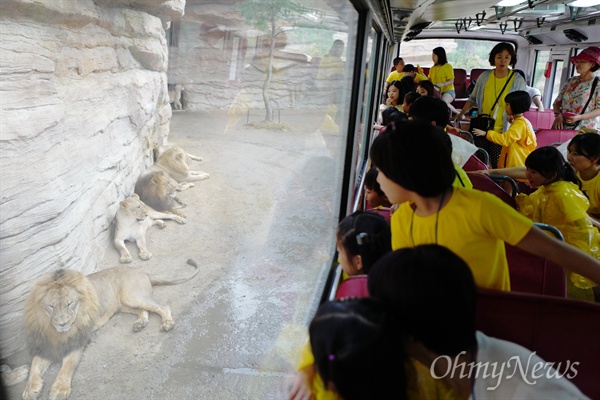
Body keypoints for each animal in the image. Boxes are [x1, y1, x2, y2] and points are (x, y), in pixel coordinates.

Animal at [21, 260, 199, 400]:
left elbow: (67, 367)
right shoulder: (44, 345)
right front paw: (31, 389)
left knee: (163, 306)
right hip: (124, 303)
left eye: (69, 304)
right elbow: (34, 365)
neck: (56, 332)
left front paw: (59, 390)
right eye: (51, 307)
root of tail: (143, 272)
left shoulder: (80, 341)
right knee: (144, 311)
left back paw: (167, 323)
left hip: (132, 296)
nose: (63, 324)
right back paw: (140, 324)